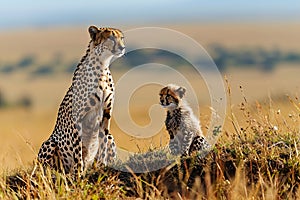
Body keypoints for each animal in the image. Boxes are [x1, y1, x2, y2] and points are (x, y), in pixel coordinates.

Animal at [37, 25, 125, 177]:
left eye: (122, 38)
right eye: (111, 38)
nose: (122, 47)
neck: (102, 66)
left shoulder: (106, 114)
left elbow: (102, 143)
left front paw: (101, 167)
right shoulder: (77, 118)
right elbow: (78, 151)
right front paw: (79, 174)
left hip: (111, 137)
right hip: (50, 144)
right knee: (47, 169)